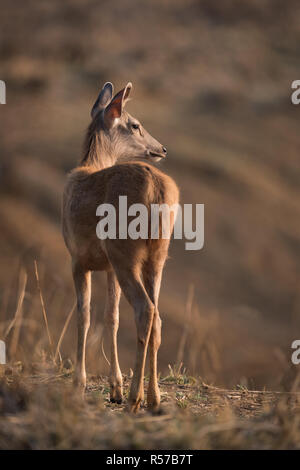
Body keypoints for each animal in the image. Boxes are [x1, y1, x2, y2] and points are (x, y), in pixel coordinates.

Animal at [61, 82, 178, 414]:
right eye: (135, 124)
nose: (162, 149)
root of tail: (158, 189)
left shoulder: (78, 258)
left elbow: (84, 314)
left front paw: (79, 384)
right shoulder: (107, 265)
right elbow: (111, 317)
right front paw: (115, 387)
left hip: (125, 251)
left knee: (144, 309)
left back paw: (135, 400)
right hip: (156, 255)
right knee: (157, 317)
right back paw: (153, 397)